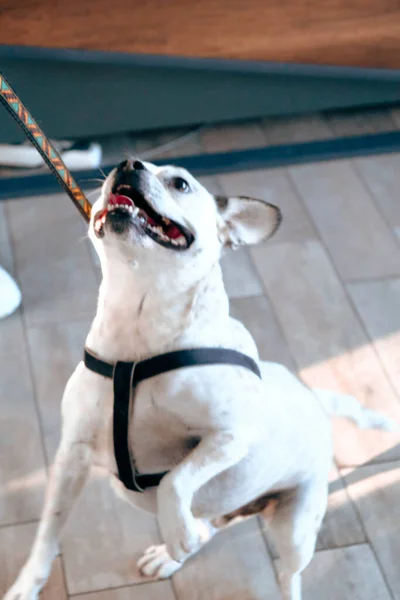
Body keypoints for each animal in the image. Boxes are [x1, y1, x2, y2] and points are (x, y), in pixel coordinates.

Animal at [5, 158, 396, 600]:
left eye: (180, 183)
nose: (127, 163)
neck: (138, 326)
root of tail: (312, 396)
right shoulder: (71, 457)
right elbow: (47, 532)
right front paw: (27, 583)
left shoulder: (230, 436)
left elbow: (177, 477)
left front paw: (175, 527)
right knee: (207, 526)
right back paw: (172, 553)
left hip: (296, 528)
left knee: (289, 575)